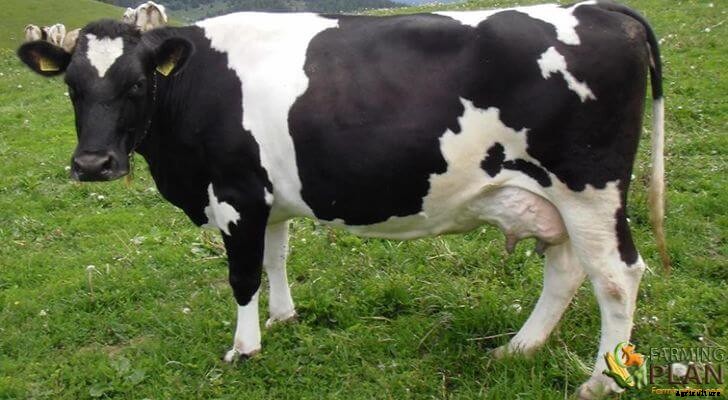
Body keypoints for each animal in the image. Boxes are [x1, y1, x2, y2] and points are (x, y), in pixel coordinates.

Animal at [16, 2, 668, 398]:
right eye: (72, 88)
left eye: (135, 84)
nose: (92, 165)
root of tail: (597, 8)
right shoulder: (266, 196)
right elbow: (276, 258)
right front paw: (283, 318)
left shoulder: (235, 194)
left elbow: (243, 276)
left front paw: (244, 349)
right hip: (550, 196)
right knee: (566, 268)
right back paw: (519, 349)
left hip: (589, 187)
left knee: (616, 277)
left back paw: (602, 381)